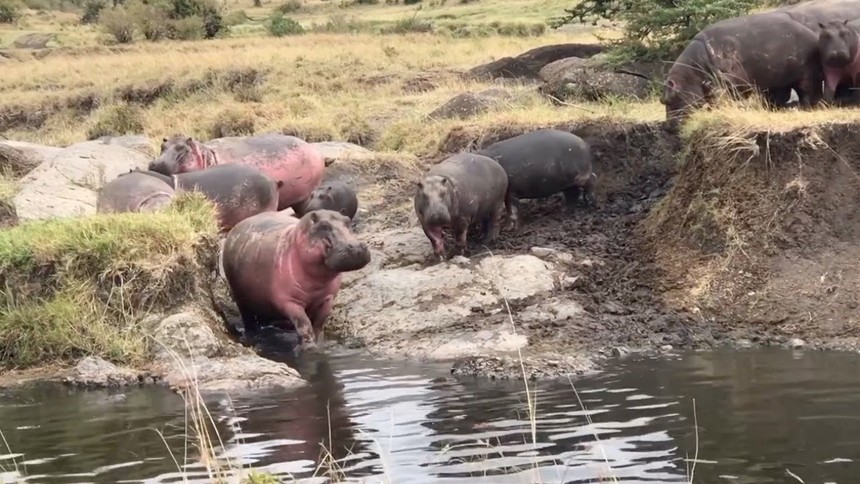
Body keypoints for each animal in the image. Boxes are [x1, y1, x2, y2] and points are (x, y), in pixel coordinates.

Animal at [220, 210, 372, 346]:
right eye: (324, 226)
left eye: (348, 221)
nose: (357, 247)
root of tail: (236, 226)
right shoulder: (290, 302)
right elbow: (304, 325)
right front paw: (309, 346)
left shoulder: (327, 298)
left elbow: (318, 325)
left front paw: (319, 343)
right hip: (241, 300)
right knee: (248, 320)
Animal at [660, 10, 824, 121]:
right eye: (662, 101)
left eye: (667, 101)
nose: (668, 127)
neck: (691, 73)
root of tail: (813, 33)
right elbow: (713, 99)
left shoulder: (728, 81)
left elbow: (722, 97)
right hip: (777, 79)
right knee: (781, 95)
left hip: (805, 74)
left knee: (807, 91)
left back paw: (806, 107)